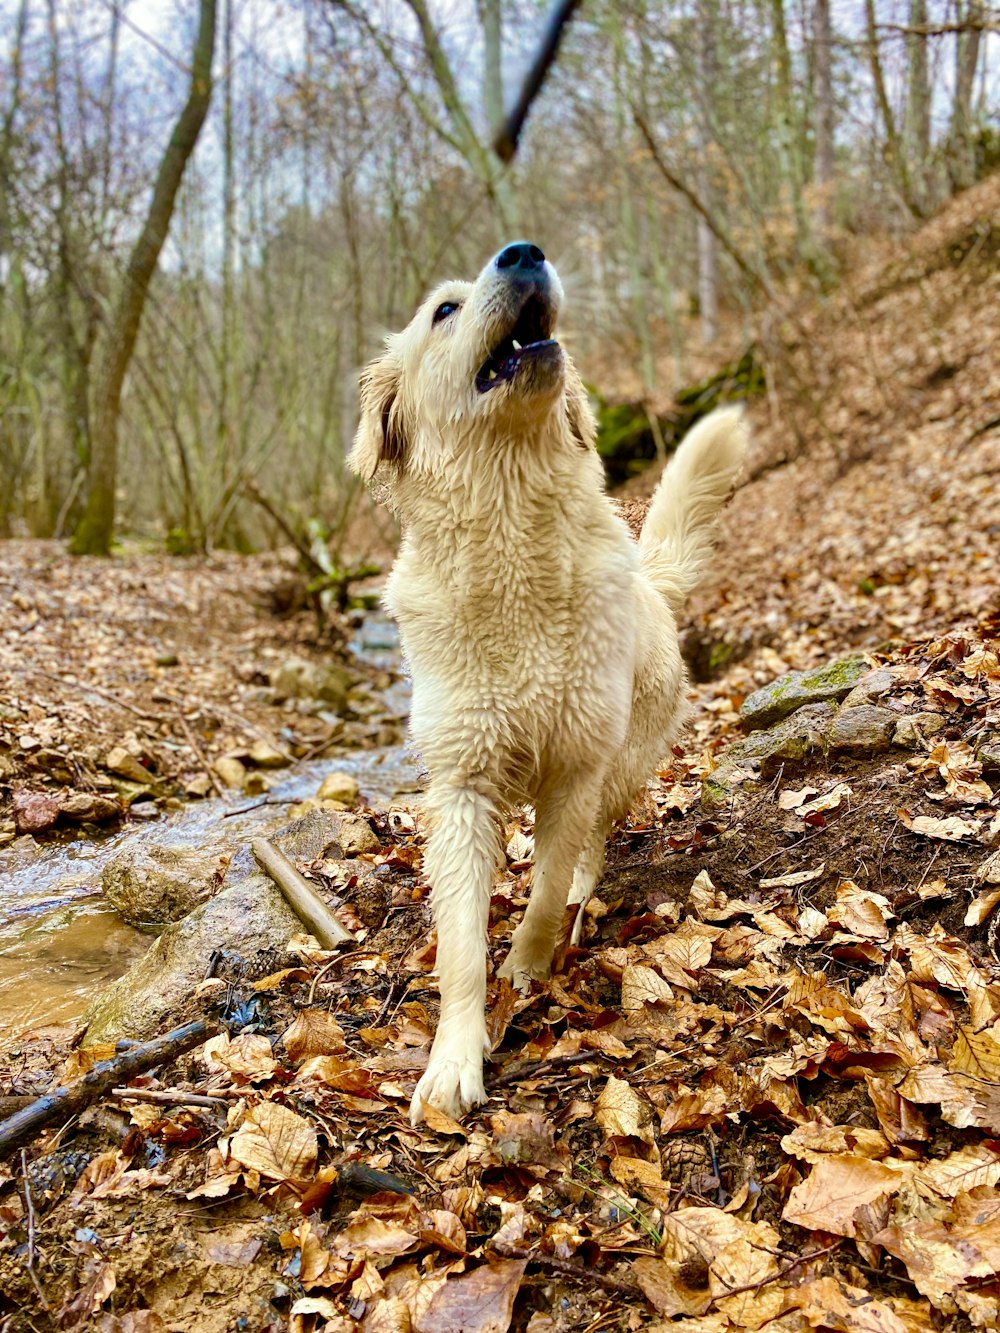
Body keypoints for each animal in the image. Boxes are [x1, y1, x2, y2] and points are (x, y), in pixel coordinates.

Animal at [349, 242, 746, 1125]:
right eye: (443, 311)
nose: (524, 253)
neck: (511, 539)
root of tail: (655, 584)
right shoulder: (462, 787)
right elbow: (461, 946)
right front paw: (453, 1059)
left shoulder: (575, 764)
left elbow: (543, 887)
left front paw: (529, 967)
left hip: (624, 757)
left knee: (593, 841)